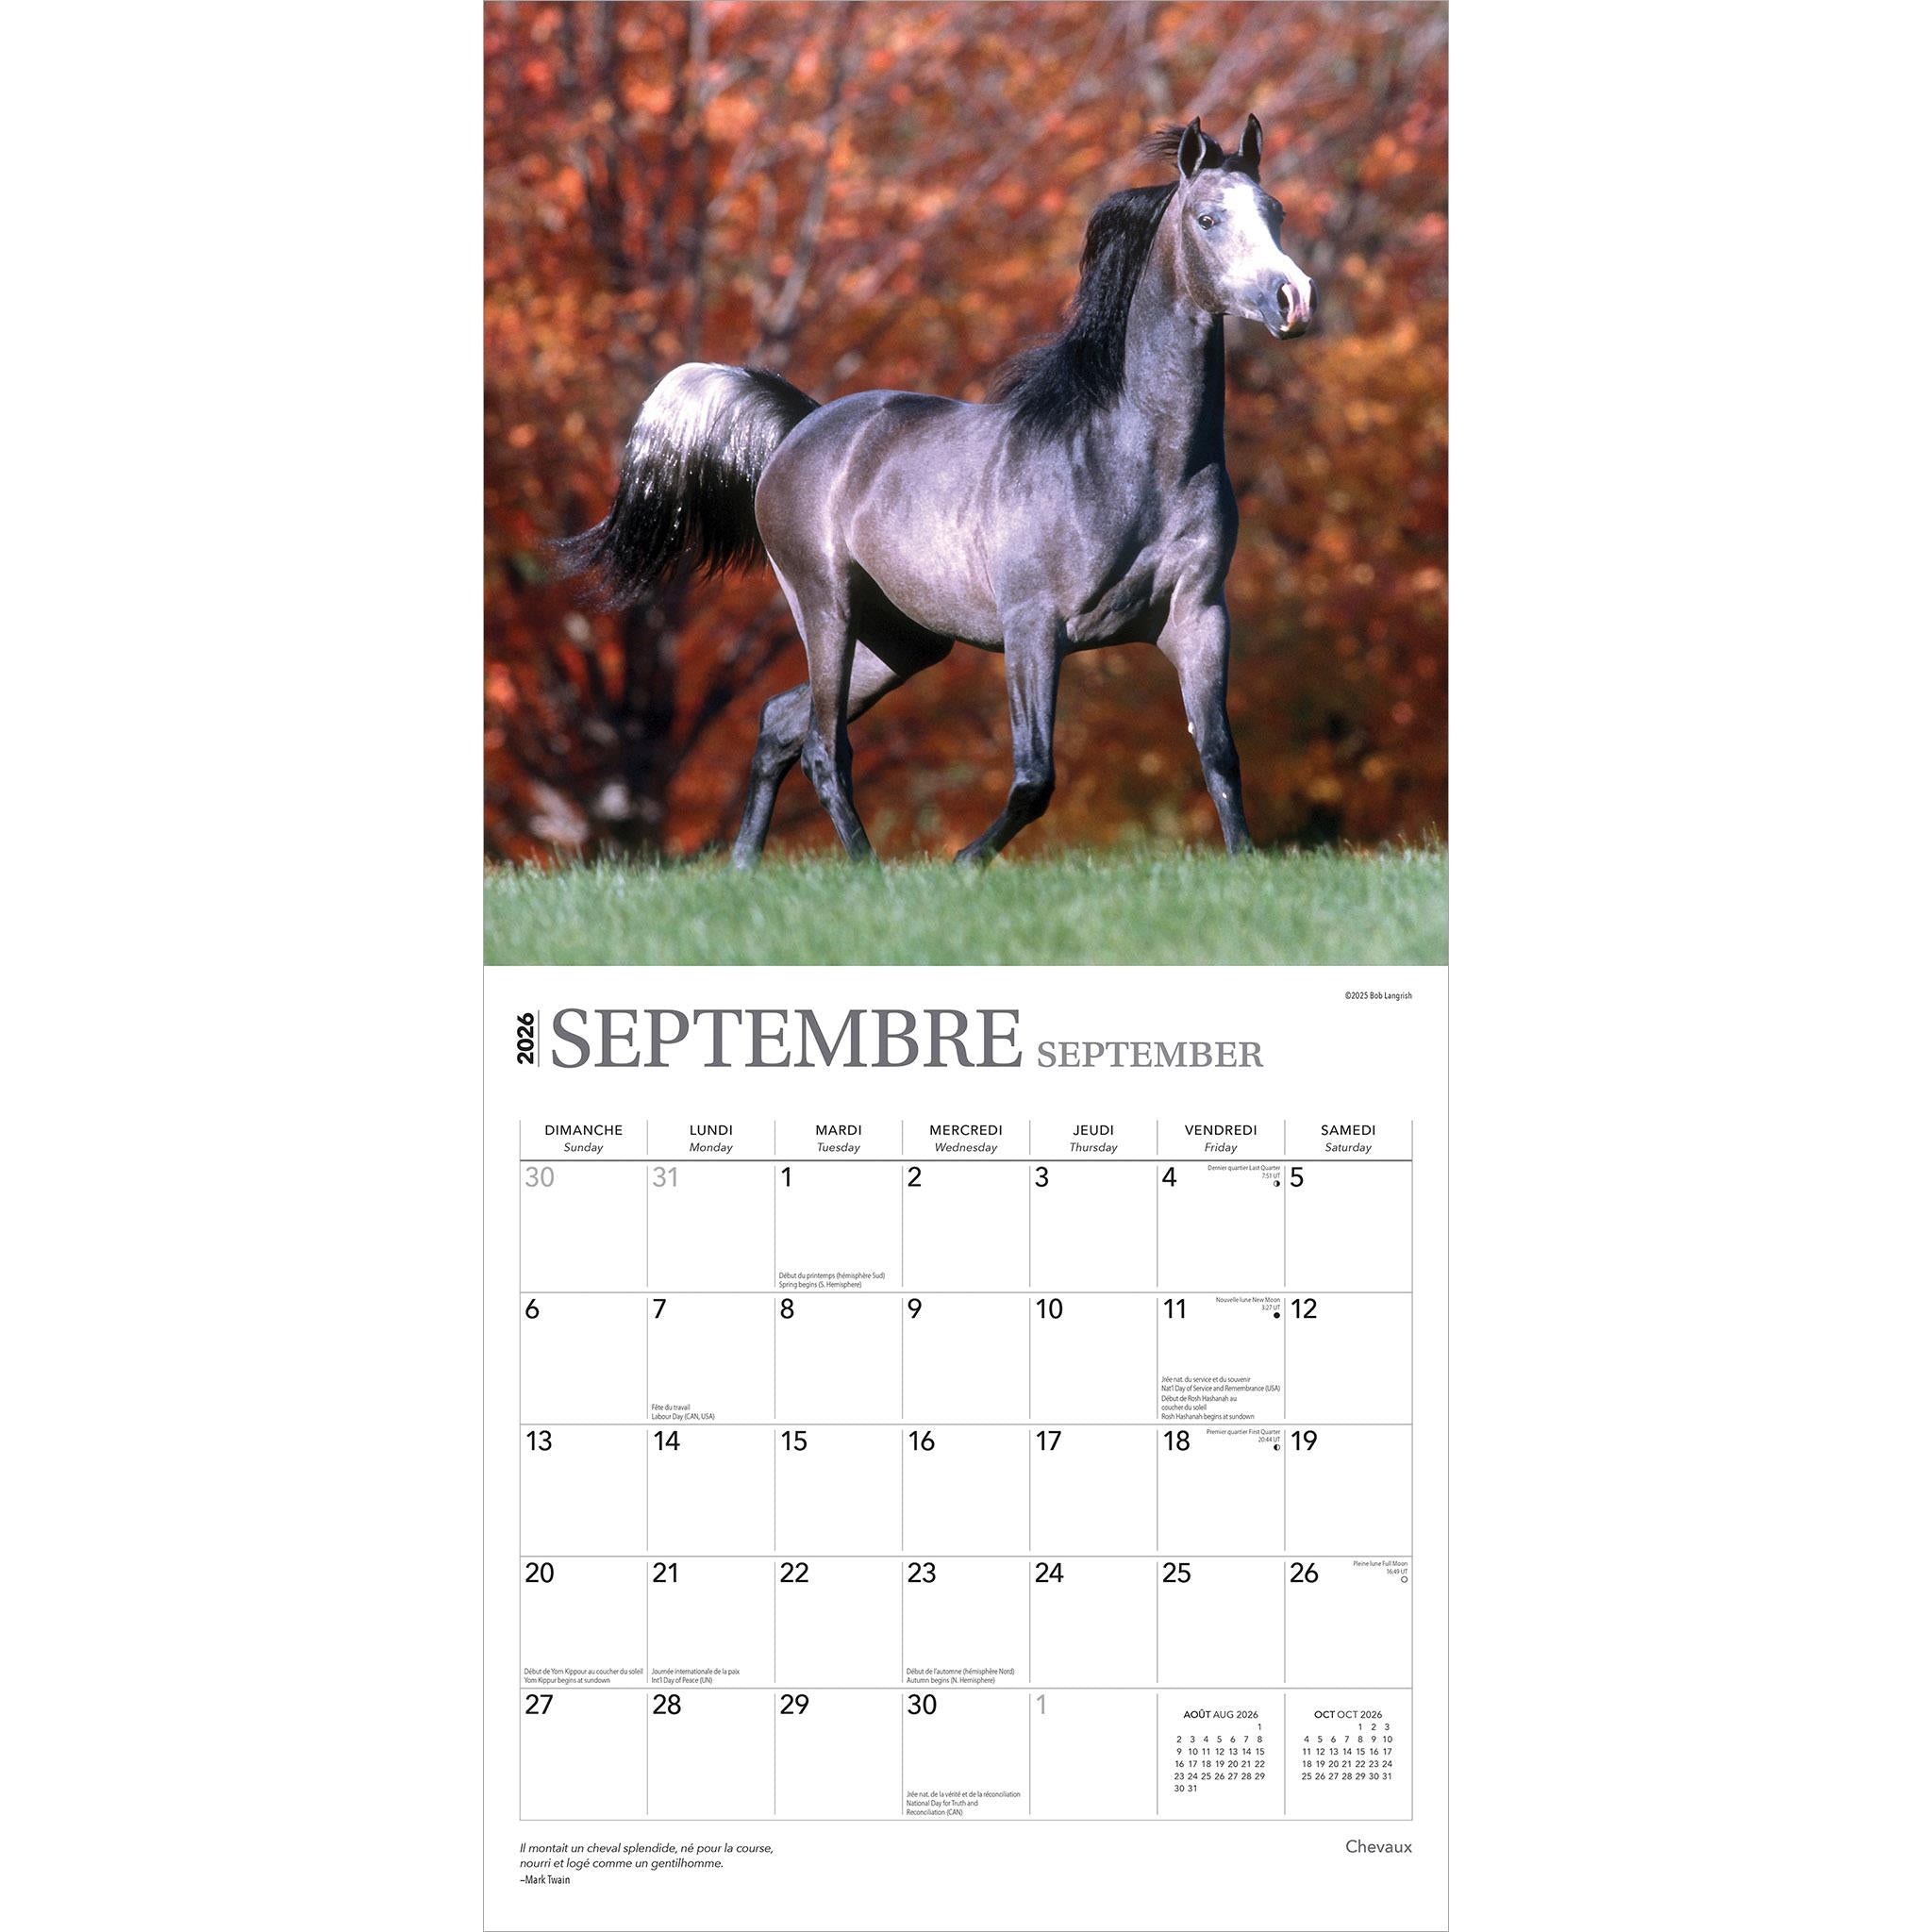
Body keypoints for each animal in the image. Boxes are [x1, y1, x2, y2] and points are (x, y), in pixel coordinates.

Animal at [558, 115, 1316, 866]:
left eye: (1275, 211)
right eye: (1209, 218)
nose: (1295, 300)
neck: (1133, 461)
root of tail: (801, 428)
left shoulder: (1198, 616)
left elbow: (1219, 754)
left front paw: (1244, 863)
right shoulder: (1033, 627)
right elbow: (1034, 777)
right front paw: (964, 862)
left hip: (903, 643)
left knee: (779, 723)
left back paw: (745, 865)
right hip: (826, 608)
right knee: (822, 747)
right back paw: (865, 868)